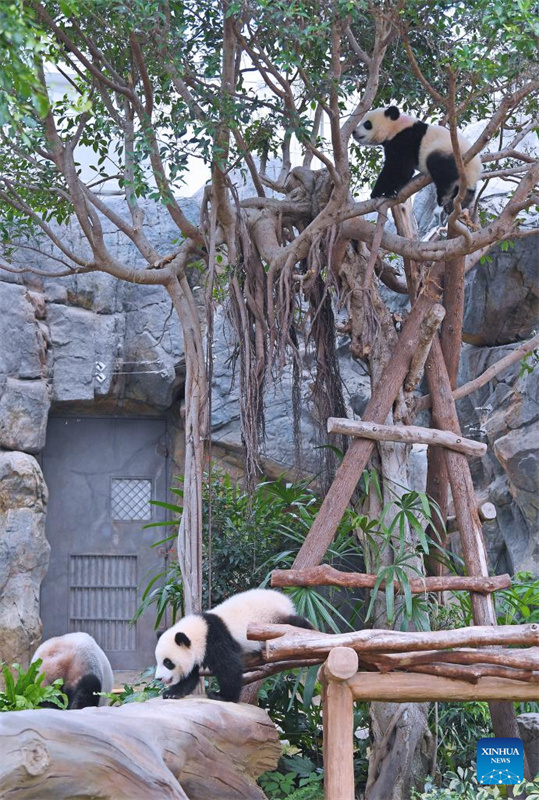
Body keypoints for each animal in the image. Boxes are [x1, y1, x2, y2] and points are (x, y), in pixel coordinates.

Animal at [155, 588, 314, 703]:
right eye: (159, 662)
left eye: (168, 663)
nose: (158, 679)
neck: (199, 631)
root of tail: (285, 599)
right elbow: (191, 676)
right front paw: (172, 693)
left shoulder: (216, 639)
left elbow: (229, 666)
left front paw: (222, 696)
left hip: (274, 619)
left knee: (296, 623)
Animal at [353, 105, 482, 213]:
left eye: (367, 124)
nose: (354, 132)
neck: (395, 126)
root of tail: (475, 165)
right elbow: (404, 172)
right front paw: (390, 191)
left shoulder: (404, 139)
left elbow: (398, 168)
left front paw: (378, 192)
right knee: (467, 188)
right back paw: (461, 201)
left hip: (448, 151)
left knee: (440, 168)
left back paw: (445, 196)